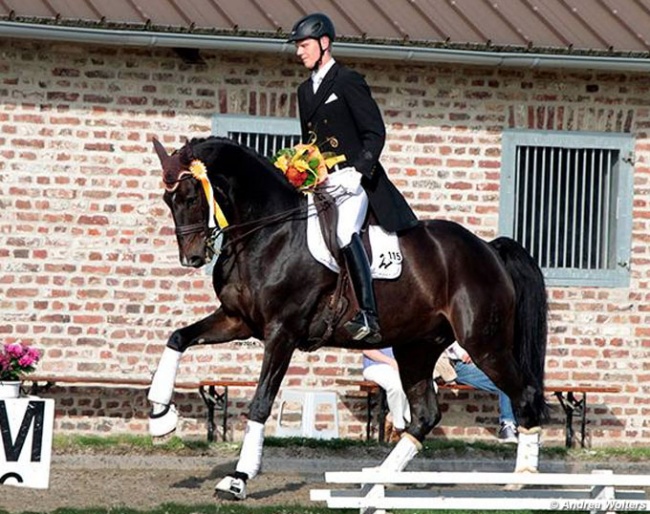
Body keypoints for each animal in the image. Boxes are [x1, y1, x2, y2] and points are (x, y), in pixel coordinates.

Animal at [148, 134, 548, 498]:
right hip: (416, 348)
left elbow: (261, 401)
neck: (268, 233)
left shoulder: (282, 333)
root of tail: (488, 249)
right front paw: (160, 417)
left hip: (485, 345)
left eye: (190, 196)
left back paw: (523, 479)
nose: (192, 258)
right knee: (424, 415)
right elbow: (178, 338)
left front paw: (238, 479)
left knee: (524, 394)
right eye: (169, 200)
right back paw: (377, 478)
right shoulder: (237, 320)